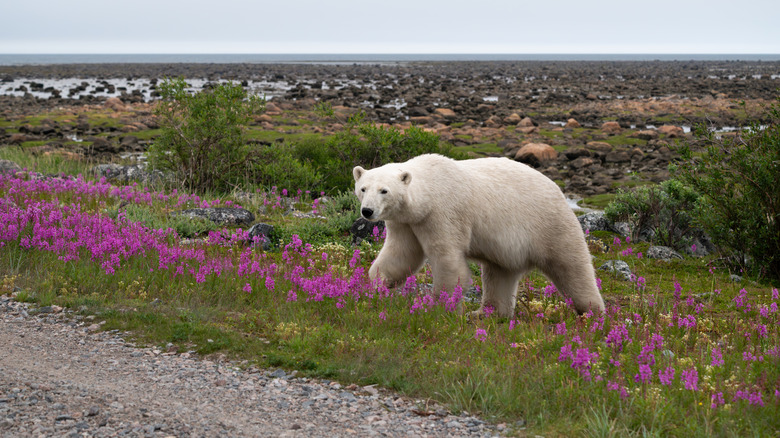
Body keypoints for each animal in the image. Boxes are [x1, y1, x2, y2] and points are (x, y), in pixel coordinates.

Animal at [353, 153, 605, 317]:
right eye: (363, 188)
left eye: (384, 190)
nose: (368, 211)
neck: (428, 193)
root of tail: (558, 190)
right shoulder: (407, 222)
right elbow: (401, 255)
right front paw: (376, 287)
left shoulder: (443, 213)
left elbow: (447, 260)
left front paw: (440, 306)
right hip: (508, 247)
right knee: (499, 275)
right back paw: (486, 312)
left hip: (549, 225)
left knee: (571, 266)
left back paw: (591, 313)